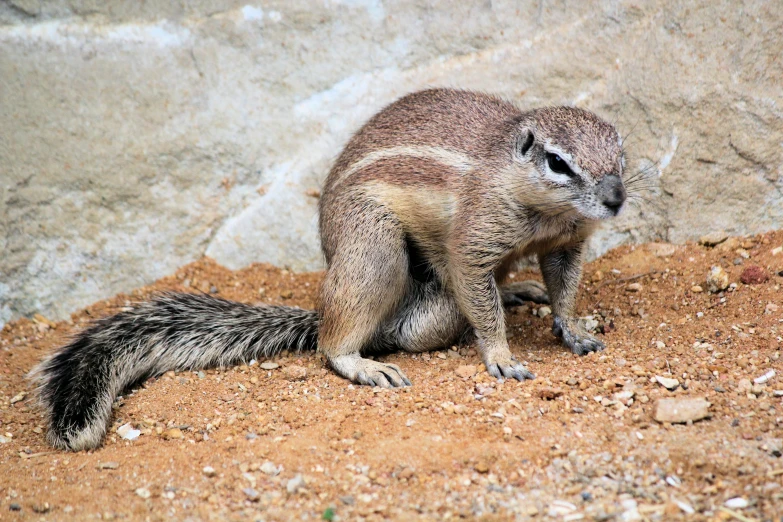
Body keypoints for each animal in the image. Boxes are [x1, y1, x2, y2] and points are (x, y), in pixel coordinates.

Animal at [32, 88, 632, 446]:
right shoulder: (476, 237)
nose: (616, 199)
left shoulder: (566, 242)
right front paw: (502, 356)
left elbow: (564, 284)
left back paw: (518, 291)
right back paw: (361, 362)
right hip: (374, 249)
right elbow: (475, 292)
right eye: (557, 162)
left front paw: (573, 329)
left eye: (622, 154)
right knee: (352, 336)